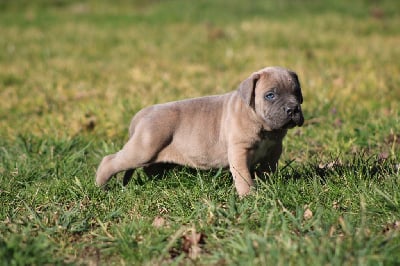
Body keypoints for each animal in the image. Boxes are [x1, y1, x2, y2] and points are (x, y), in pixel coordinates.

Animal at [96, 66, 304, 195]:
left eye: (297, 93)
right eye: (270, 95)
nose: (293, 109)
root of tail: (143, 113)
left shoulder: (274, 151)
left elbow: (267, 170)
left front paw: (267, 185)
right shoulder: (239, 151)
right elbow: (243, 176)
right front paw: (249, 195)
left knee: (151, 168)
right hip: (143, 149)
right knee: (110, 161)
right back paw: (100, 187)